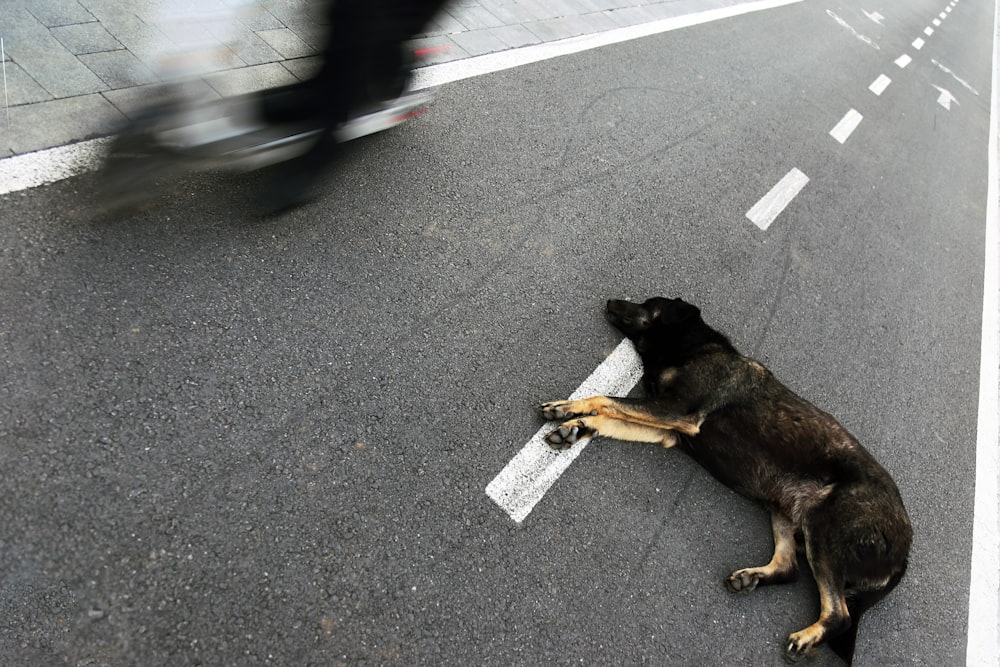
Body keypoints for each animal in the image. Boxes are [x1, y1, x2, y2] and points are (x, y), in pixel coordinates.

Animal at [544, 300, 912, 664]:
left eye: (649, 304)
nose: (610, 301)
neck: (690, 349)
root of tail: (904, 552)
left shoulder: (675, 411)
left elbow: (605, 400)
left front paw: (571, 407)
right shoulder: (667, 429)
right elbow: (608, 417)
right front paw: (576, 425)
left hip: (824, 527)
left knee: (839, 614)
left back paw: (806, 637)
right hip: (784, 508)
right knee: (789, 568)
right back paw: (753, 578)